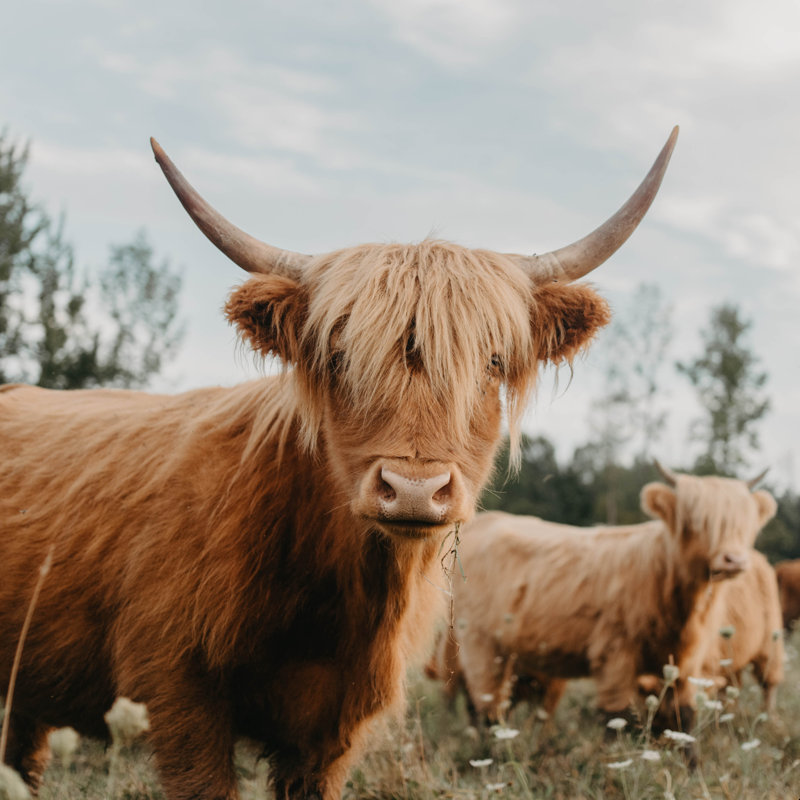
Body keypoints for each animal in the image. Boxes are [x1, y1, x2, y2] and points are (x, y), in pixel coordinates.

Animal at [442, 464, 776, 732]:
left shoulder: (687, 663)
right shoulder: (615, 656)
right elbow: (617, 719)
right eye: (696, 521)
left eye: (745, 524)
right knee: (486, 708)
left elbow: (683, 719)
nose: (734, 560)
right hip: (480, 645)